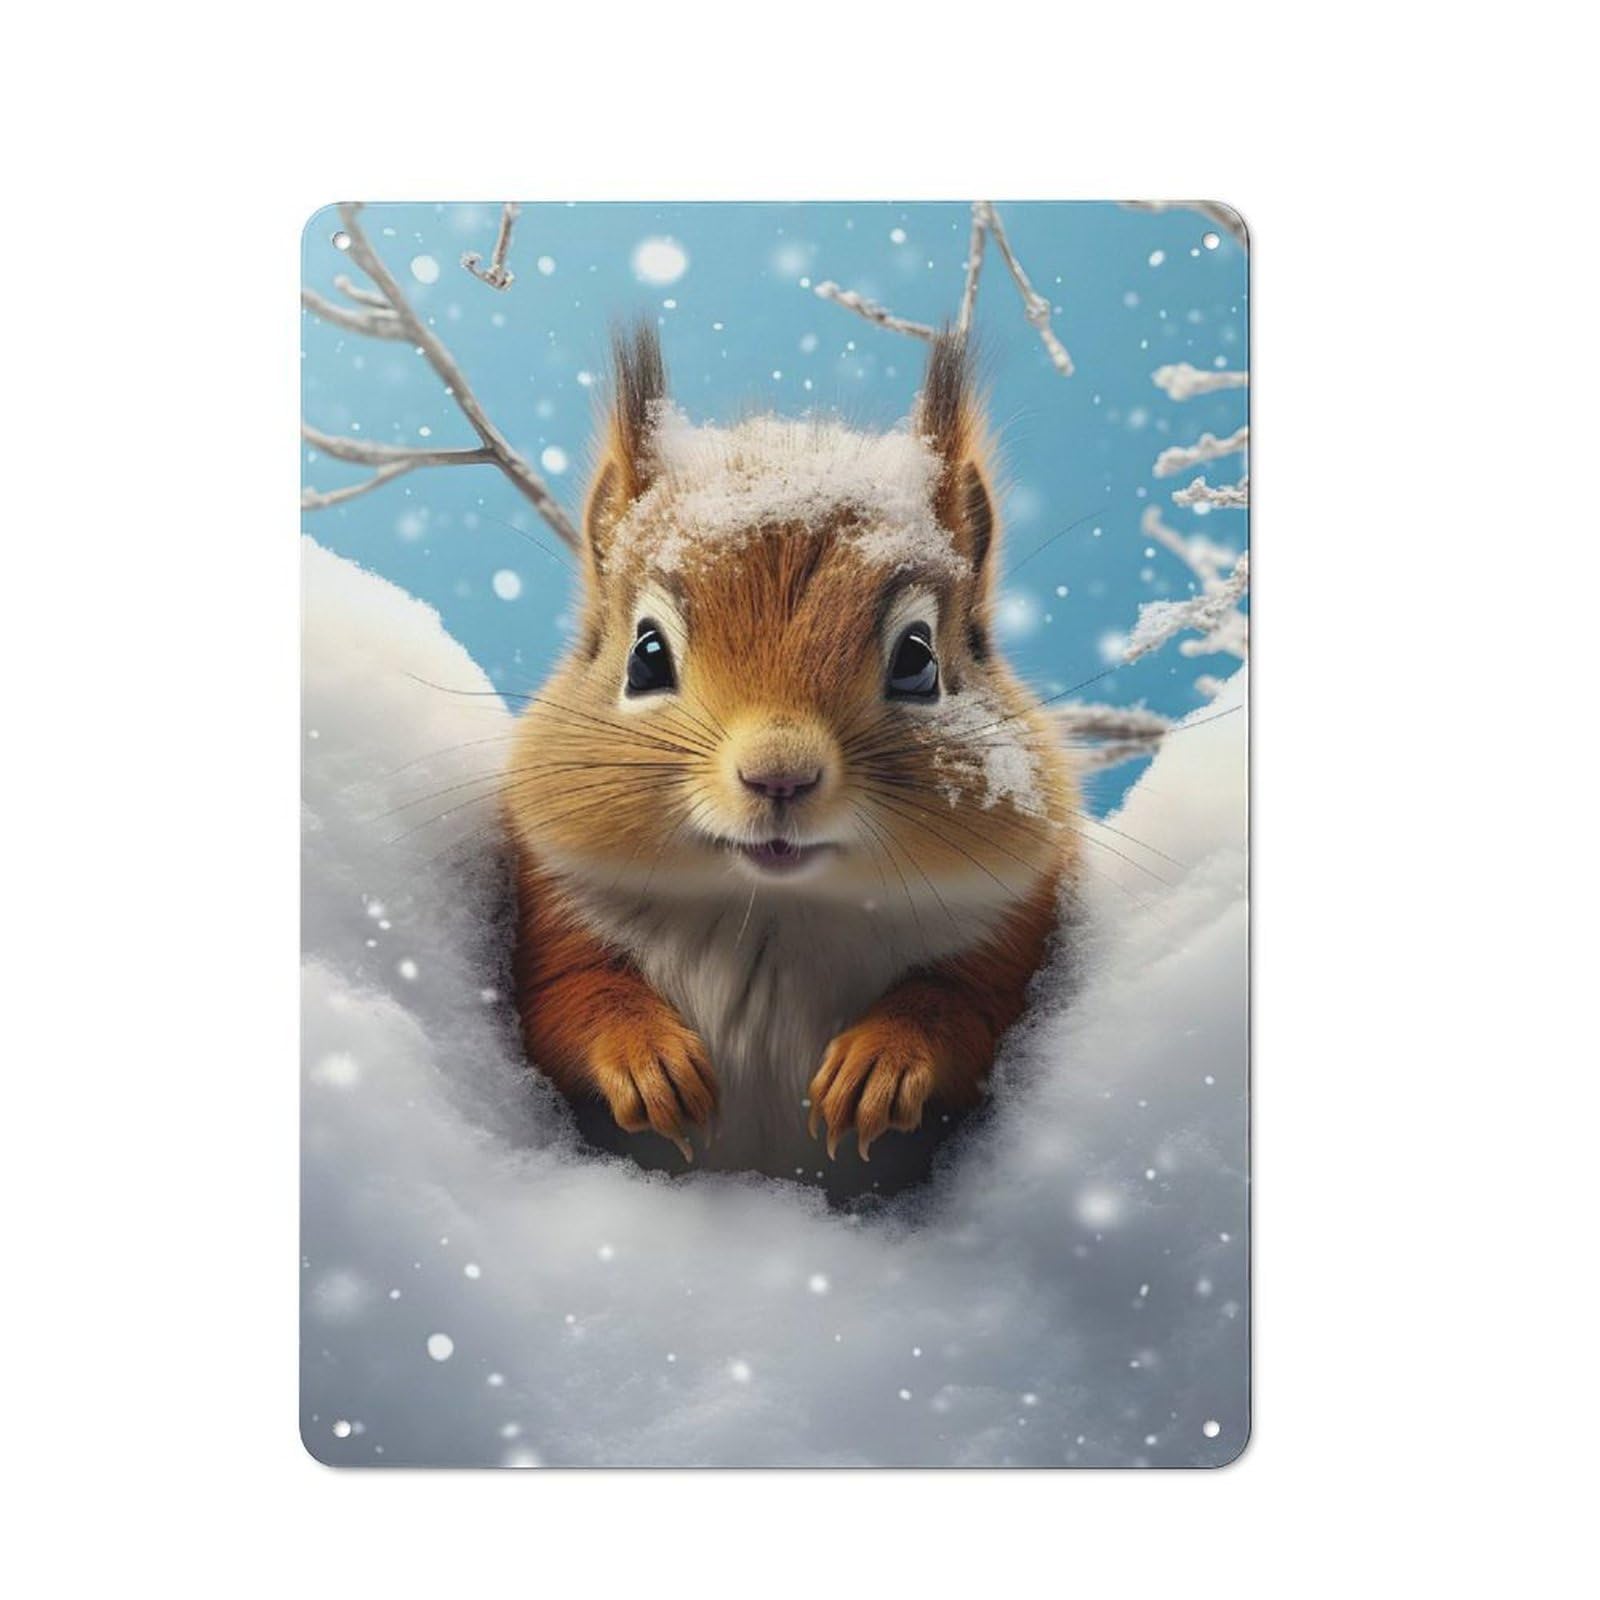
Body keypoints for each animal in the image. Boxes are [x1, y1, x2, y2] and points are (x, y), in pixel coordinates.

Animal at [504, 324, 1080, 1195]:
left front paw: (879, 1063)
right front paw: (647, 1060)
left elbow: (964, 1008)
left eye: (918, 660)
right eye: (645, 656)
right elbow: (568, 999)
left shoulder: (1012, 934)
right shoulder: (549, 917)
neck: (771, 913)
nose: (779, 774)